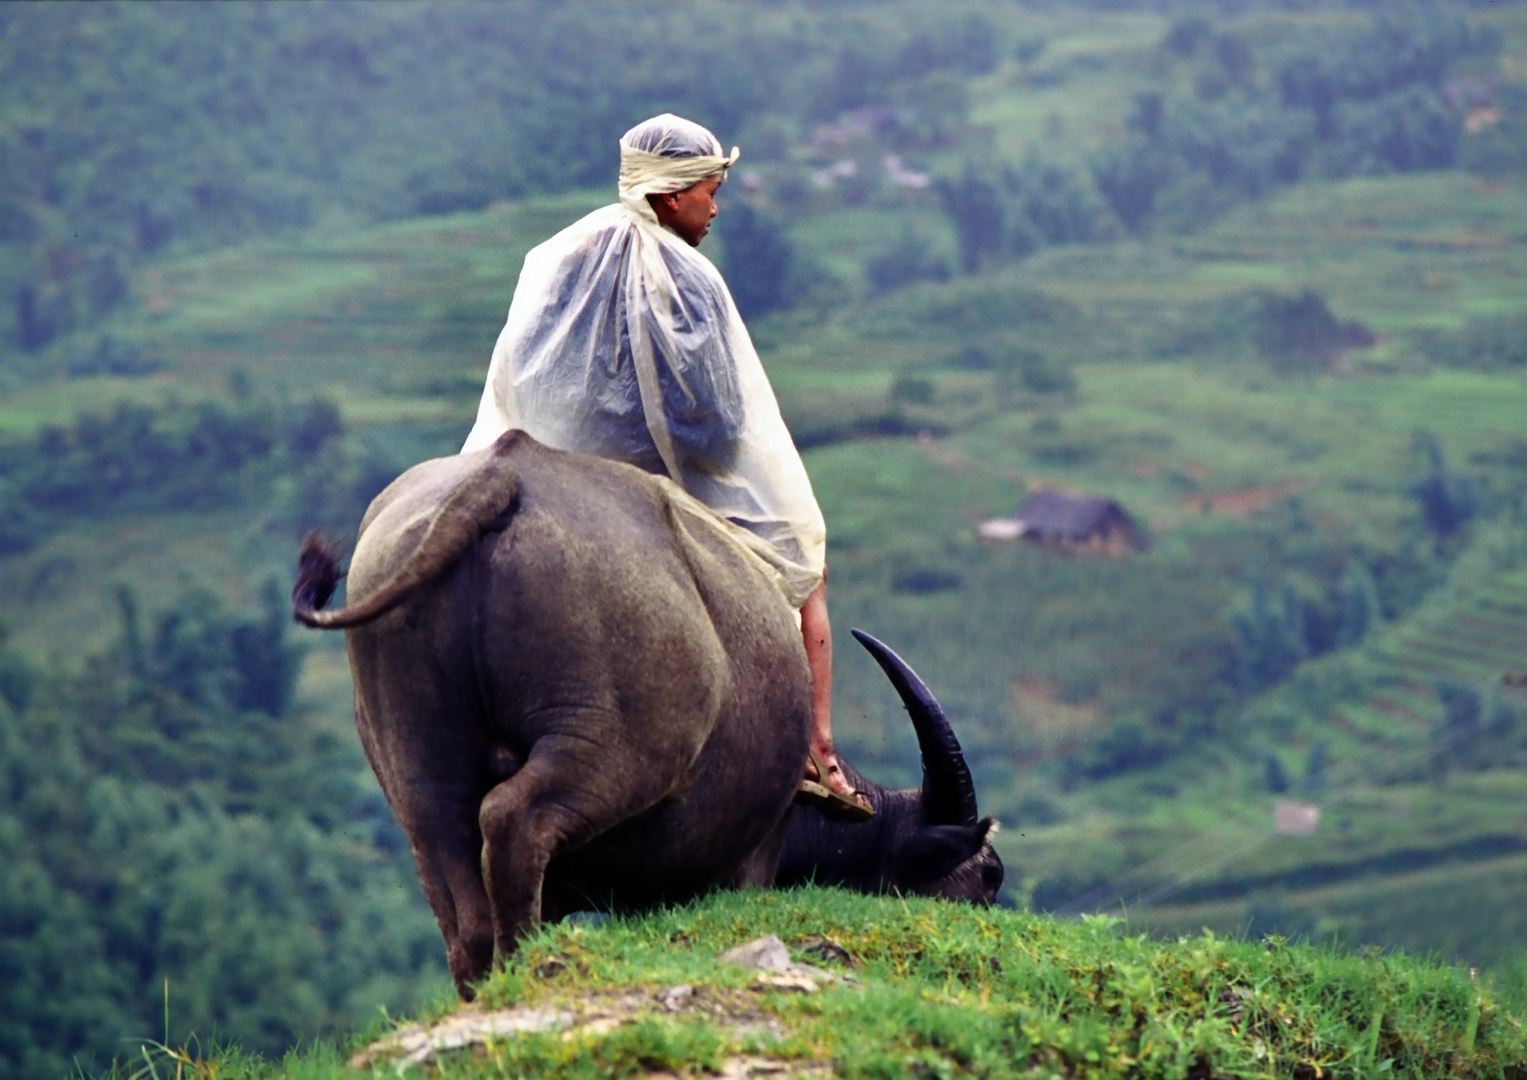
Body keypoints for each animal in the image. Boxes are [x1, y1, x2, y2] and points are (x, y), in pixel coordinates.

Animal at [294, 427, 1001, 995]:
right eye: (987, 878)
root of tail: (503, 476)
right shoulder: (743, 861)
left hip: (421, 760)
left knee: (459, 891)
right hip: (613, 747)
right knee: (516, 819)